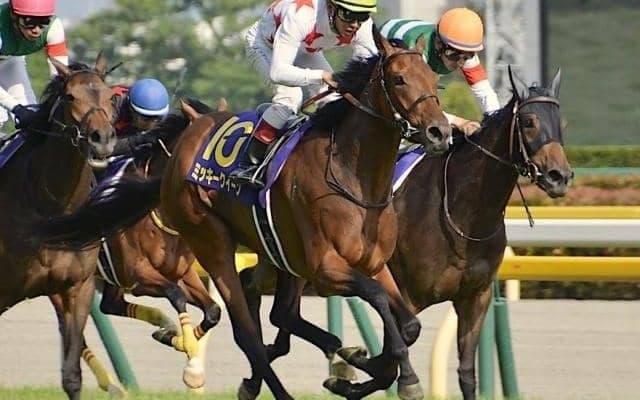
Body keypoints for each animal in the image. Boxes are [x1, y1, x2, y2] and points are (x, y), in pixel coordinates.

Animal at [29, 28, 451, 399]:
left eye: (433, 77)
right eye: (398, 79)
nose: (439, 132)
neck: (352, 176)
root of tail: (184, 146)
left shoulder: (374, 264)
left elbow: (409, 325)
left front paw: (362, 368)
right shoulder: (326, 268)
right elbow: (379, 301)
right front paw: (398, 376)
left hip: (280, 257)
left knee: (275, 315)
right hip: (212, 243)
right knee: (246, 332)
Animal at [240, 66, 572, 400]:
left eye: (562, 124)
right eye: (529, 122)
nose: (560, 176)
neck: (463, 217)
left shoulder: (475, 297)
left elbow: (466, 374)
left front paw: (350, 369)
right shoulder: (407, 292)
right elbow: (392, 358)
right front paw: (352, 374)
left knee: (273, 306)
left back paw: (259, 372)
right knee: (275, 307)